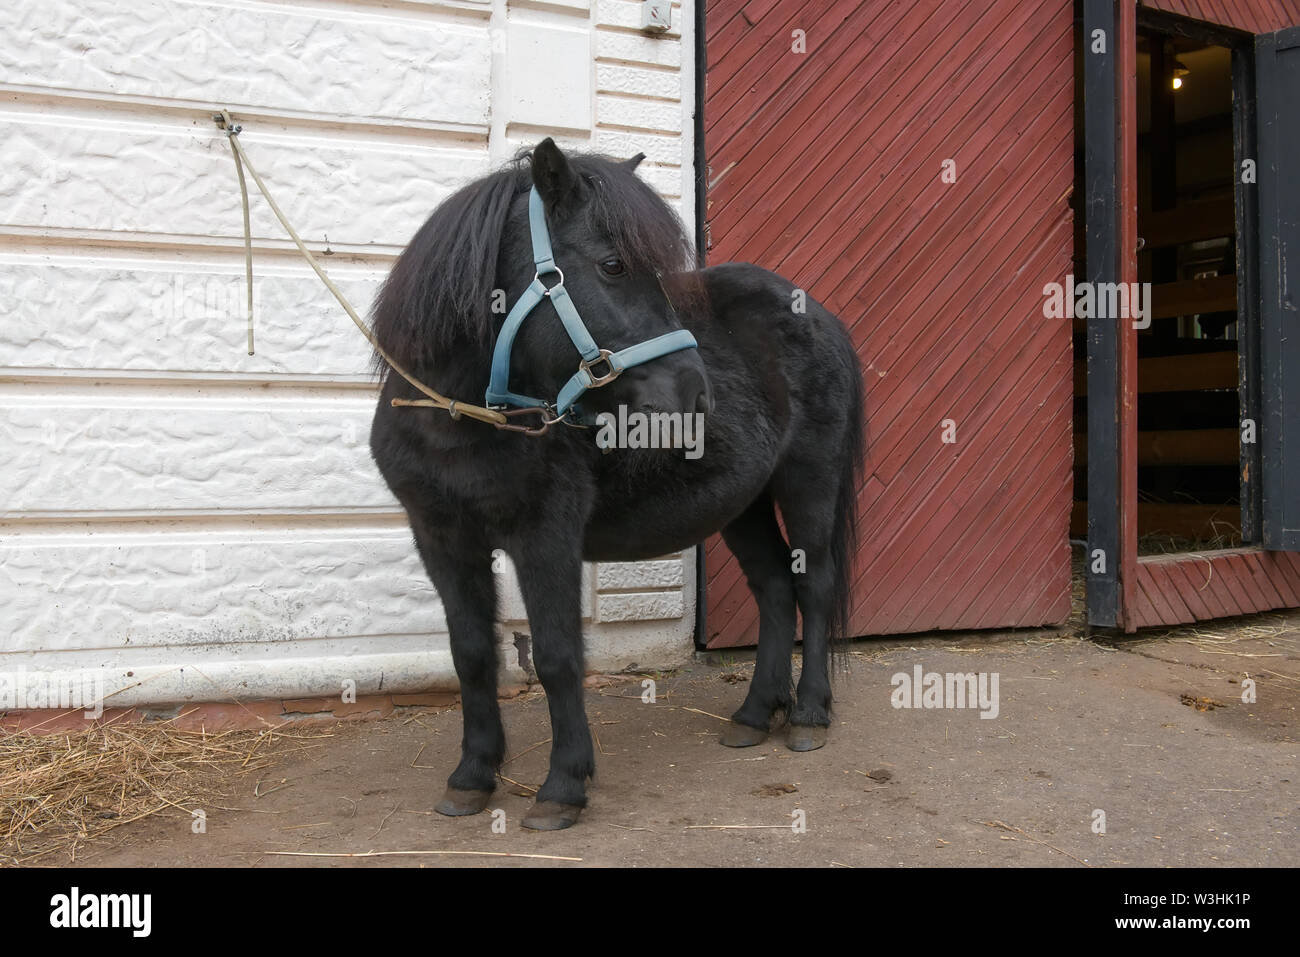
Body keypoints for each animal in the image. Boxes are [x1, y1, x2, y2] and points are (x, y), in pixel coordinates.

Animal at [368, 138, 865, 830]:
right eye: (612, 264)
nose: (696, 396)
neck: (462, 417)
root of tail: (813, 311)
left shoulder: (545, 538)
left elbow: (557, 657)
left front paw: (563, 786)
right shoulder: (441, 539)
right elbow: (470, 654)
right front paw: (472, 776)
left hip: (808, 483)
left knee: (812, 586)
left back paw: (810, 714)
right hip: (742, 503)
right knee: (772, 589)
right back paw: (752, 715)